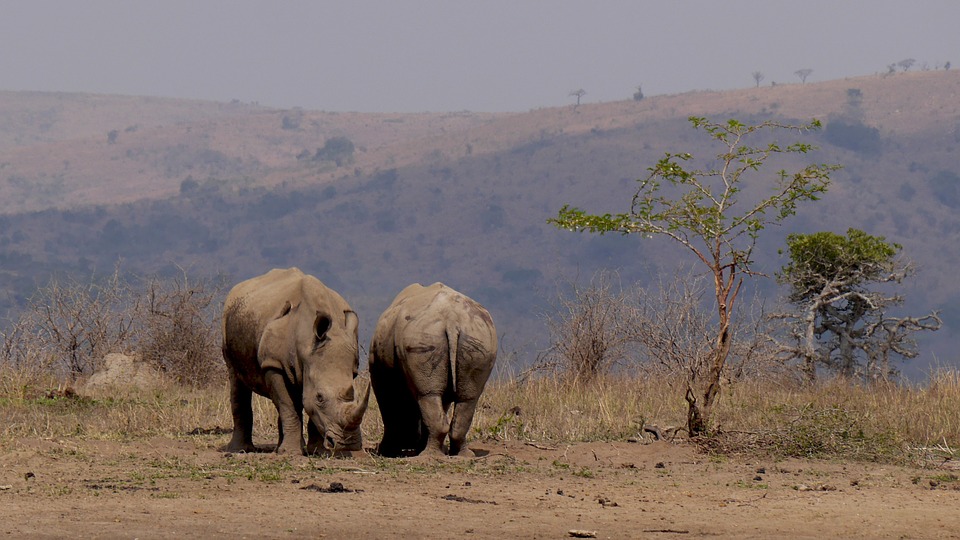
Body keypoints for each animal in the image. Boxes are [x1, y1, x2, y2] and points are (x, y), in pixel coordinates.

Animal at [221, 268, 369, 455]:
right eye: (320, 397)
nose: (347, 444)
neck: (306, 345)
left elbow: (307, 406)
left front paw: (318, 451)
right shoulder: (274, 364)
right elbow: (288, 405)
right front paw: (291, 453)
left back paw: (279, 448)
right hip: (228, 319)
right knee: (236, 377)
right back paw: (240, 450)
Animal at [369, 283, 497, 456]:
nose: (409, 445)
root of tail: (452, 320)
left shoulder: (380, 372)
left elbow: (388, 406)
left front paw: (385, 451)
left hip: (425, 336)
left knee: (427, 395)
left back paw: (427, 456)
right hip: (479, 337)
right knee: (466, 398)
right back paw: (461, 455)